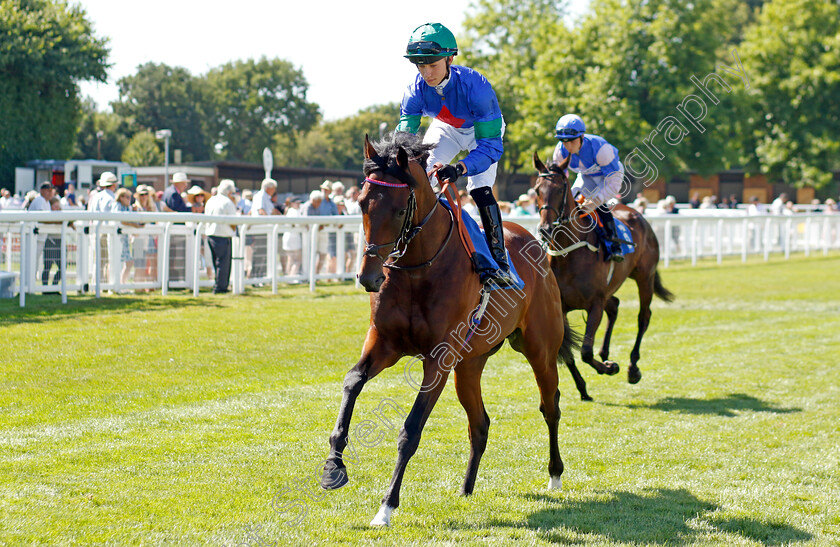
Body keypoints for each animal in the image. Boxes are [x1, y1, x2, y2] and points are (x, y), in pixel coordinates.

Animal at [320, 133, 576, 528]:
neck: (419, 267)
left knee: (551, 407)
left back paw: (555, 475)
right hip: (469, 365)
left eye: (399, 210)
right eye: (361, 203)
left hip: (540, 352)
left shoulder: (438, 359)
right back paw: (467, 488)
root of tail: (536, 245)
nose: (369, 277)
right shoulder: (384, 343)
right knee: (481, 423)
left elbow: (410, 430)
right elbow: (352, 382)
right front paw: (334, 466)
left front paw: (386, 506)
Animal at [532, 152, 676, 400]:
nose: (545, 229)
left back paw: (632, 368)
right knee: (615, 305)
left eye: (560, 189)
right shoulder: (562, 307)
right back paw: (606, 352)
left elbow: (586, 352)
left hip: (644, 277)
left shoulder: (595, 303)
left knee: (643, 317)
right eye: (537, 190)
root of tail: (638, 214)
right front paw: (583, 388)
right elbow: (568, 353)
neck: (569, 255)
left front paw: (610, 367)